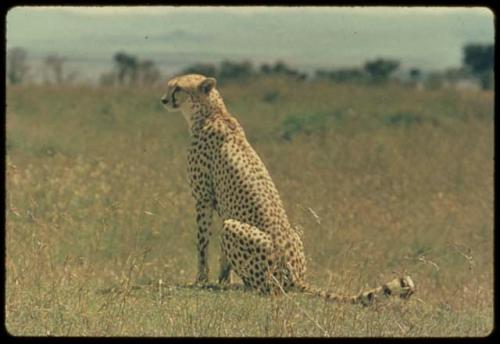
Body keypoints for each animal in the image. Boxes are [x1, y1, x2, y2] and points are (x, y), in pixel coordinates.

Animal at [160, 74, 414, 304]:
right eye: (170, 86)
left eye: (178, 88)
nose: (163, 100)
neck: (213, 113)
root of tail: (298, 279)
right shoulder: (219, 206)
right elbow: (222, 257)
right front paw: (222, 280)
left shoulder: (203, 198)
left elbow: (202, 243)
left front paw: (201, 280)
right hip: (292, 232)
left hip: (236, 231)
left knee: (265, 287)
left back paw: (246, 286)